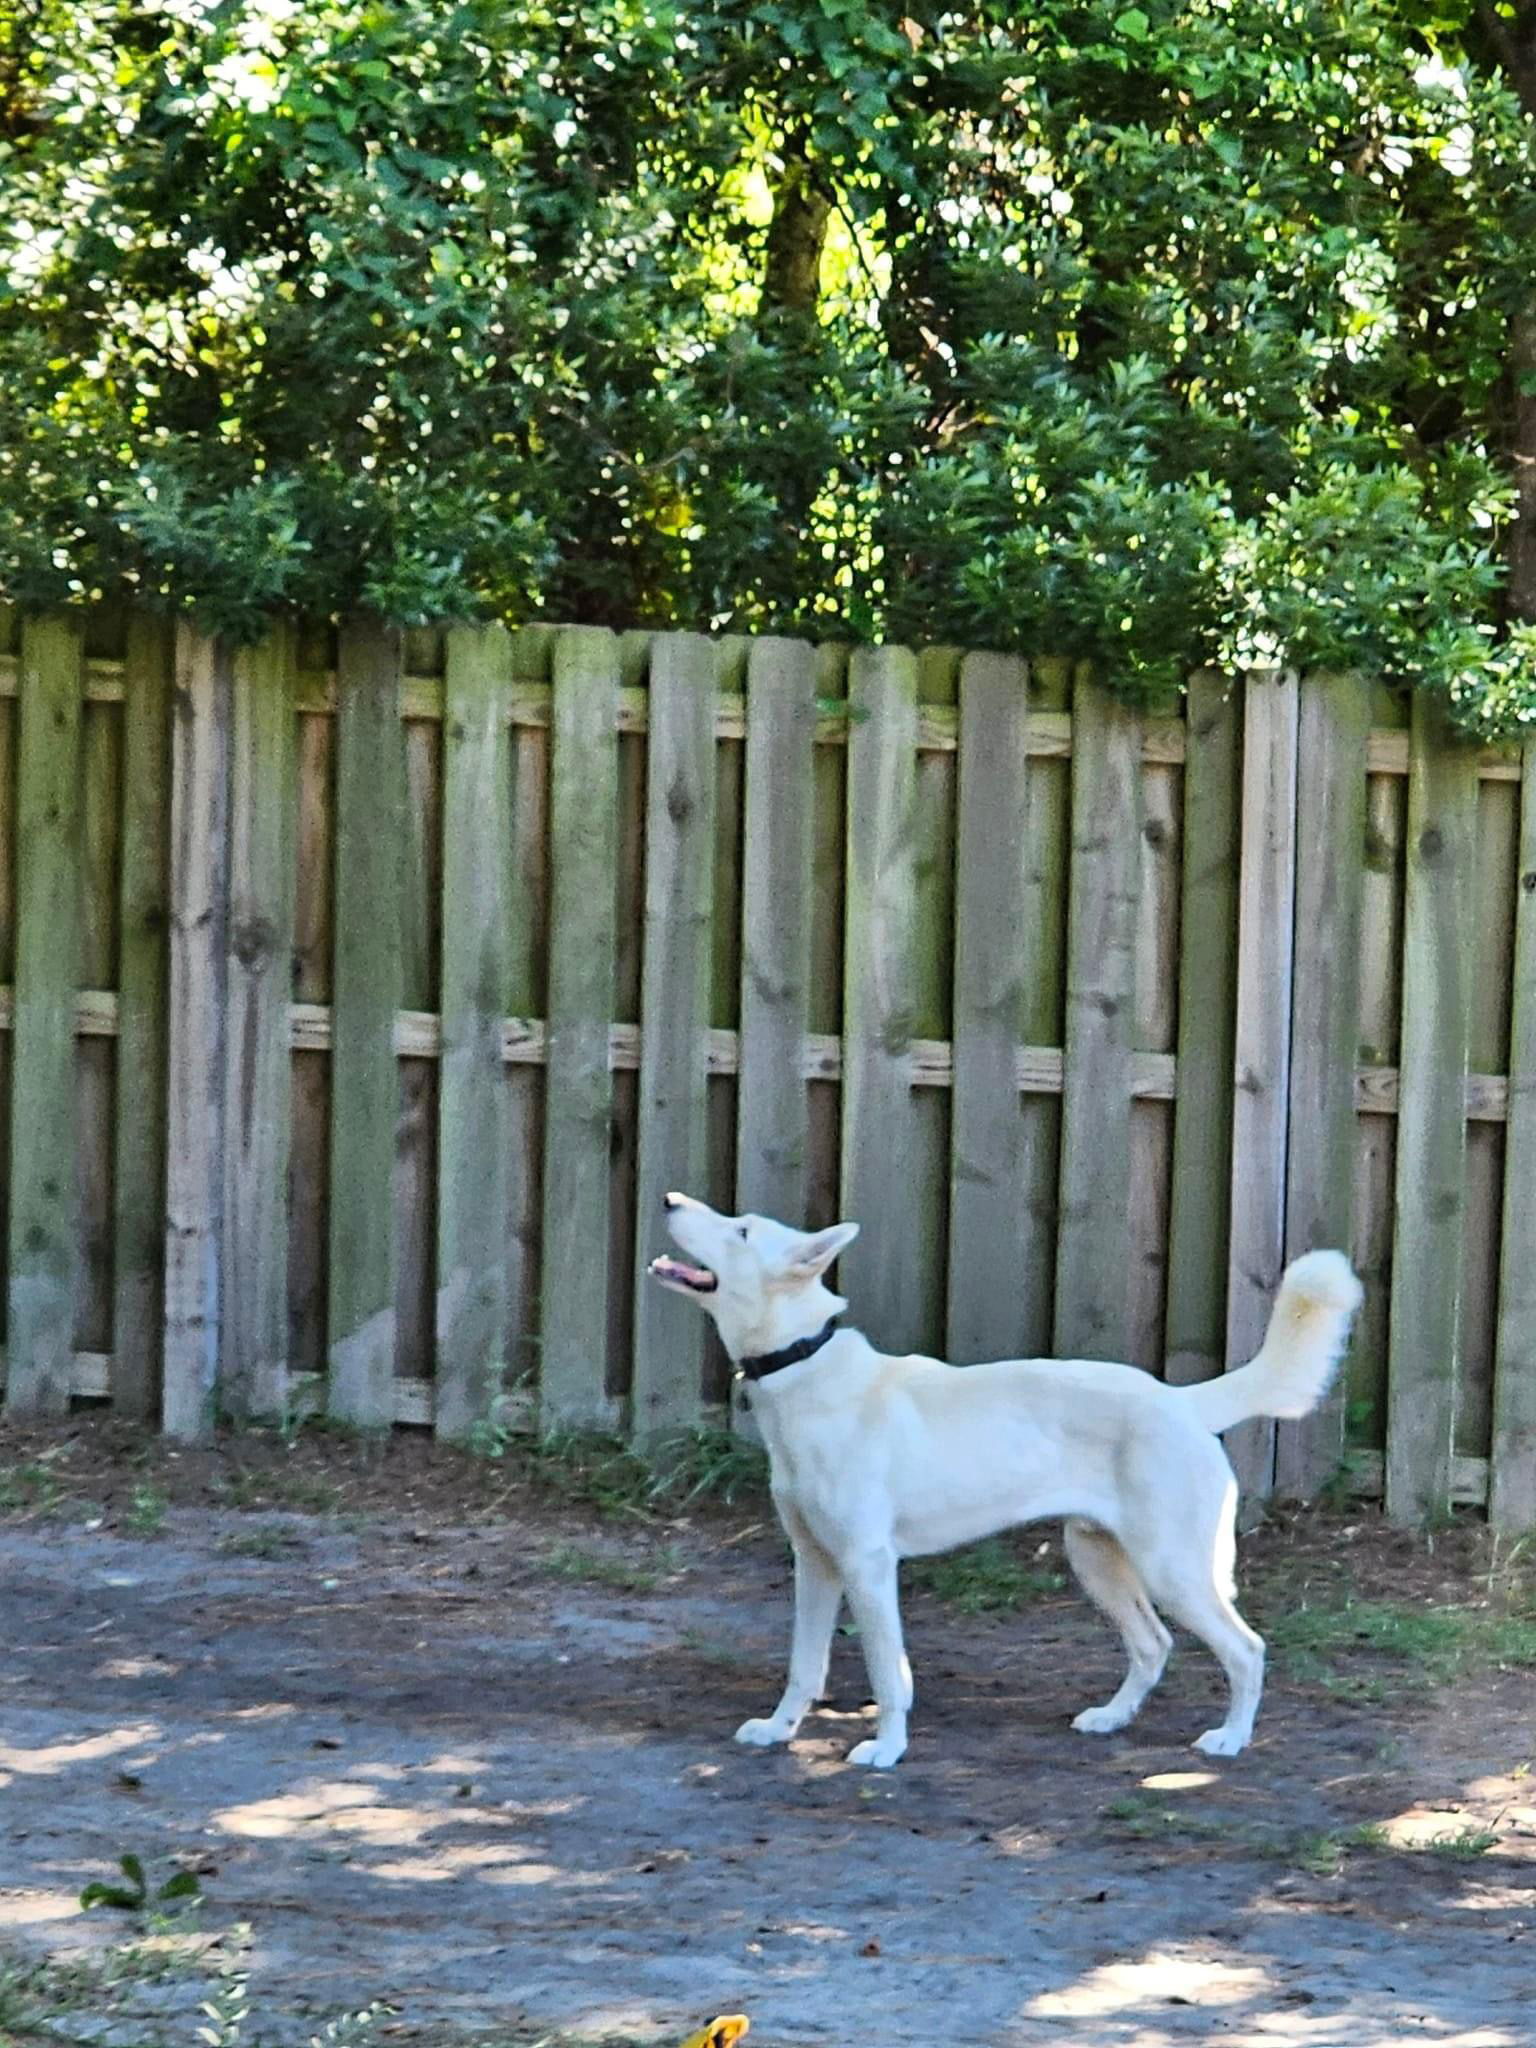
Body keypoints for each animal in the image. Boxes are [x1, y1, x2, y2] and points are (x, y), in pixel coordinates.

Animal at [643, 1196, 1368, 1769]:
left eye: (740, 1231)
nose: (671, 1199)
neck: (803, 1363)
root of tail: (1182, 1400)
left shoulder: (867, 1566)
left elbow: (887, 1671)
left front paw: (886, 1749)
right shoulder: (814, 1563)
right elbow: (803, 1666)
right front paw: (779, 1730)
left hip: (1173, 1570)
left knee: (1246, 1650)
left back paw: (1230, 1739)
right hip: (1097, 1559)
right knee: (1153, 1644)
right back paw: (1112, 1718)